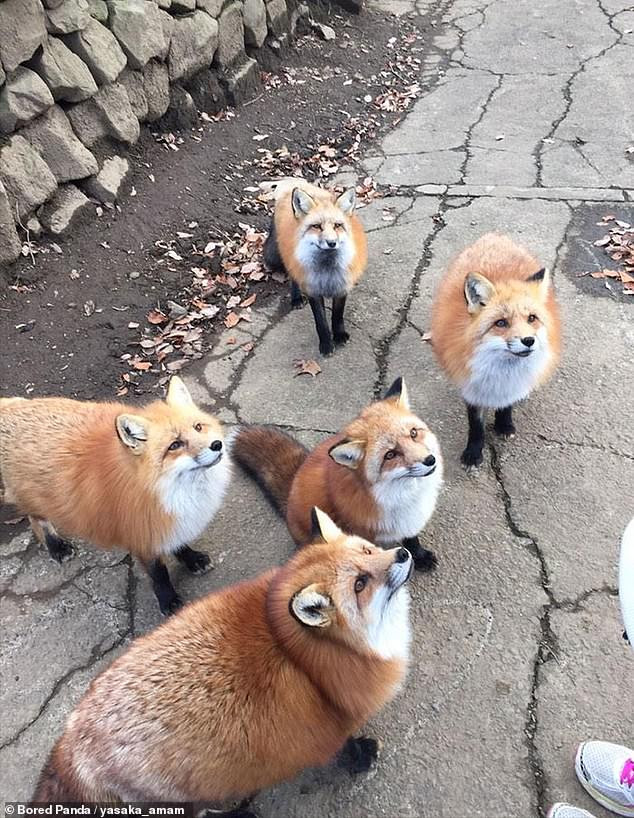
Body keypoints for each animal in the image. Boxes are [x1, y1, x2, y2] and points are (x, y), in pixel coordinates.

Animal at [0, 376, 230, 615]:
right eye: (174, 445)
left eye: (198, 427)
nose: (217, 445)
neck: (165, 491)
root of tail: (12, 405)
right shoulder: (142, 534)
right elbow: (159, 574)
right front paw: (169, 601)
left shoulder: (168, 523)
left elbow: (179, 544)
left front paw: (192, 559)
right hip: (35, 498)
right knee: (36, 520)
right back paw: (56, 546)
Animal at [32, 508, 413, 815]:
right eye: (360, 583)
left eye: (367, 550)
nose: (404, 552)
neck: (301, 654)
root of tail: (70, 741)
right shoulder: (322, 727)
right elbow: (344, 751)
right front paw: (362, 756)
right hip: (189, 799)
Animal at [233, 376, 442, 571]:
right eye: (390, 455)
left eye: (413, 433)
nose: (430, 460)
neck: (402, 496)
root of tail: (293, 483)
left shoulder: (409, 520)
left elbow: (412, 540)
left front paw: (420, 557)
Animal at [261, 177, 368, 356]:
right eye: (316, 226)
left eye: (337, 225)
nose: (331, 243)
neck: (327, 271)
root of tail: (294, 182)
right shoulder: (312, 289)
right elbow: (321, 322)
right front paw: (326, 345)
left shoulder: (342, 285)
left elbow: (337, 316)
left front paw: (339, 335)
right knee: (293, 277)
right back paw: (296, 298)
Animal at [430, 232, 561, 469]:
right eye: (501, 323)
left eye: (532, 318)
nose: (529, 340)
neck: (502, 372)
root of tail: (495, 236)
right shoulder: (471, 384)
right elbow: (476, 425)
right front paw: (474, 452)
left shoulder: (511, 385)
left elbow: (507, 405)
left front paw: (504, 424)